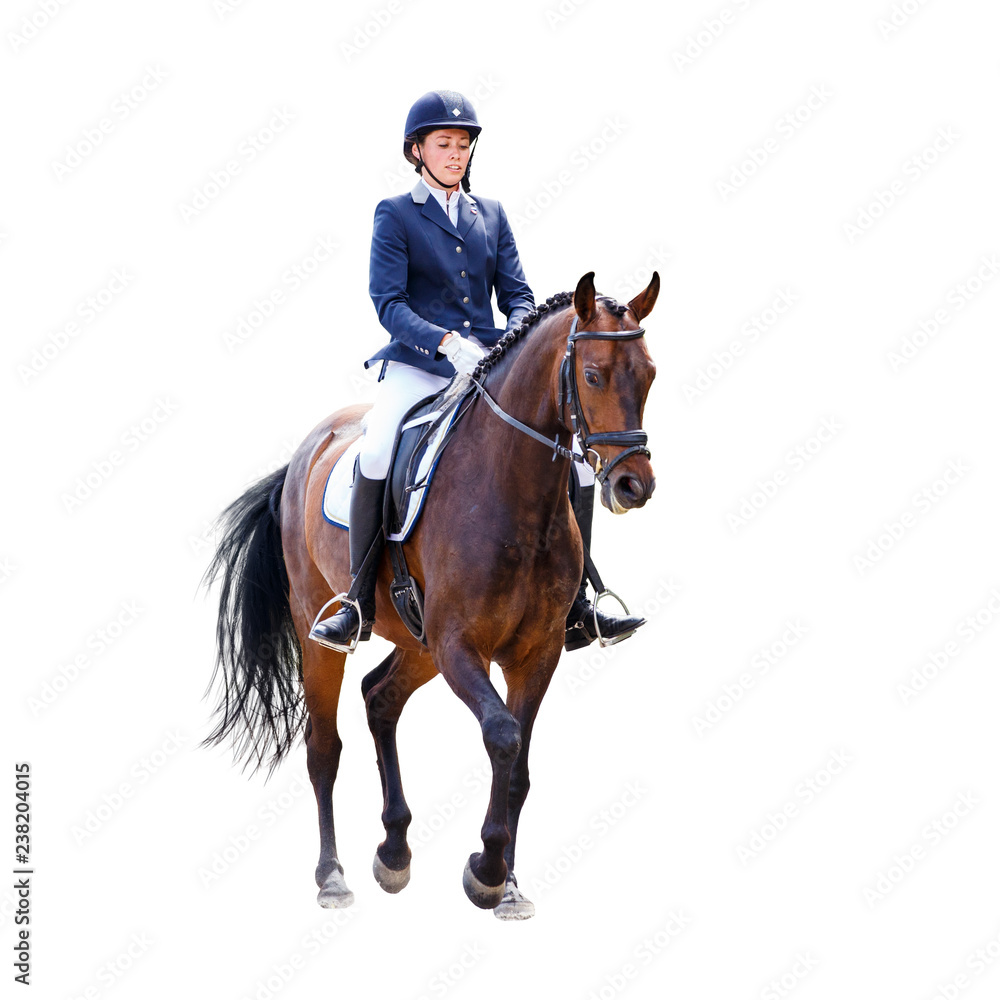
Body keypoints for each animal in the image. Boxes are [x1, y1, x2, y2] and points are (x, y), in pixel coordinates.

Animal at [203, 270, 659, 918]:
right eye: (593, 375)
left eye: (649, 373)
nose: (633, 485)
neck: (515, 493)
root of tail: (304, 454)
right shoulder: (458, 645)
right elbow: (502, 736)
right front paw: (485, 872)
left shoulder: (536, 652)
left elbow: (519, 767)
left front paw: (507, 885)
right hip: (323, 632)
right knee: (323, 746)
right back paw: (332, 876)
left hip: (415, 641)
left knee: (380, 698)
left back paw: (393, 852)